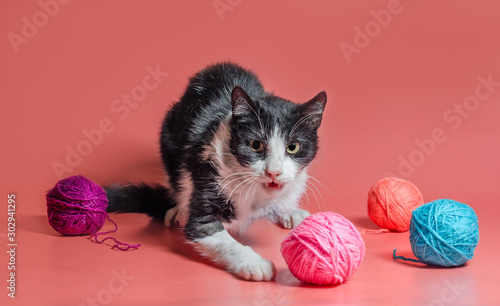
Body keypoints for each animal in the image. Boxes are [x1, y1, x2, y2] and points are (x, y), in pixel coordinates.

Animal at [105, 62, 326, 282]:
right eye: (256, 145)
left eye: (293, 147)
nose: (274, 172)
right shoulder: (208, 177)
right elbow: (212, 233)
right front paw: (255, 264)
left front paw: (288, 210)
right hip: (168, 135)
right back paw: (179, 209)